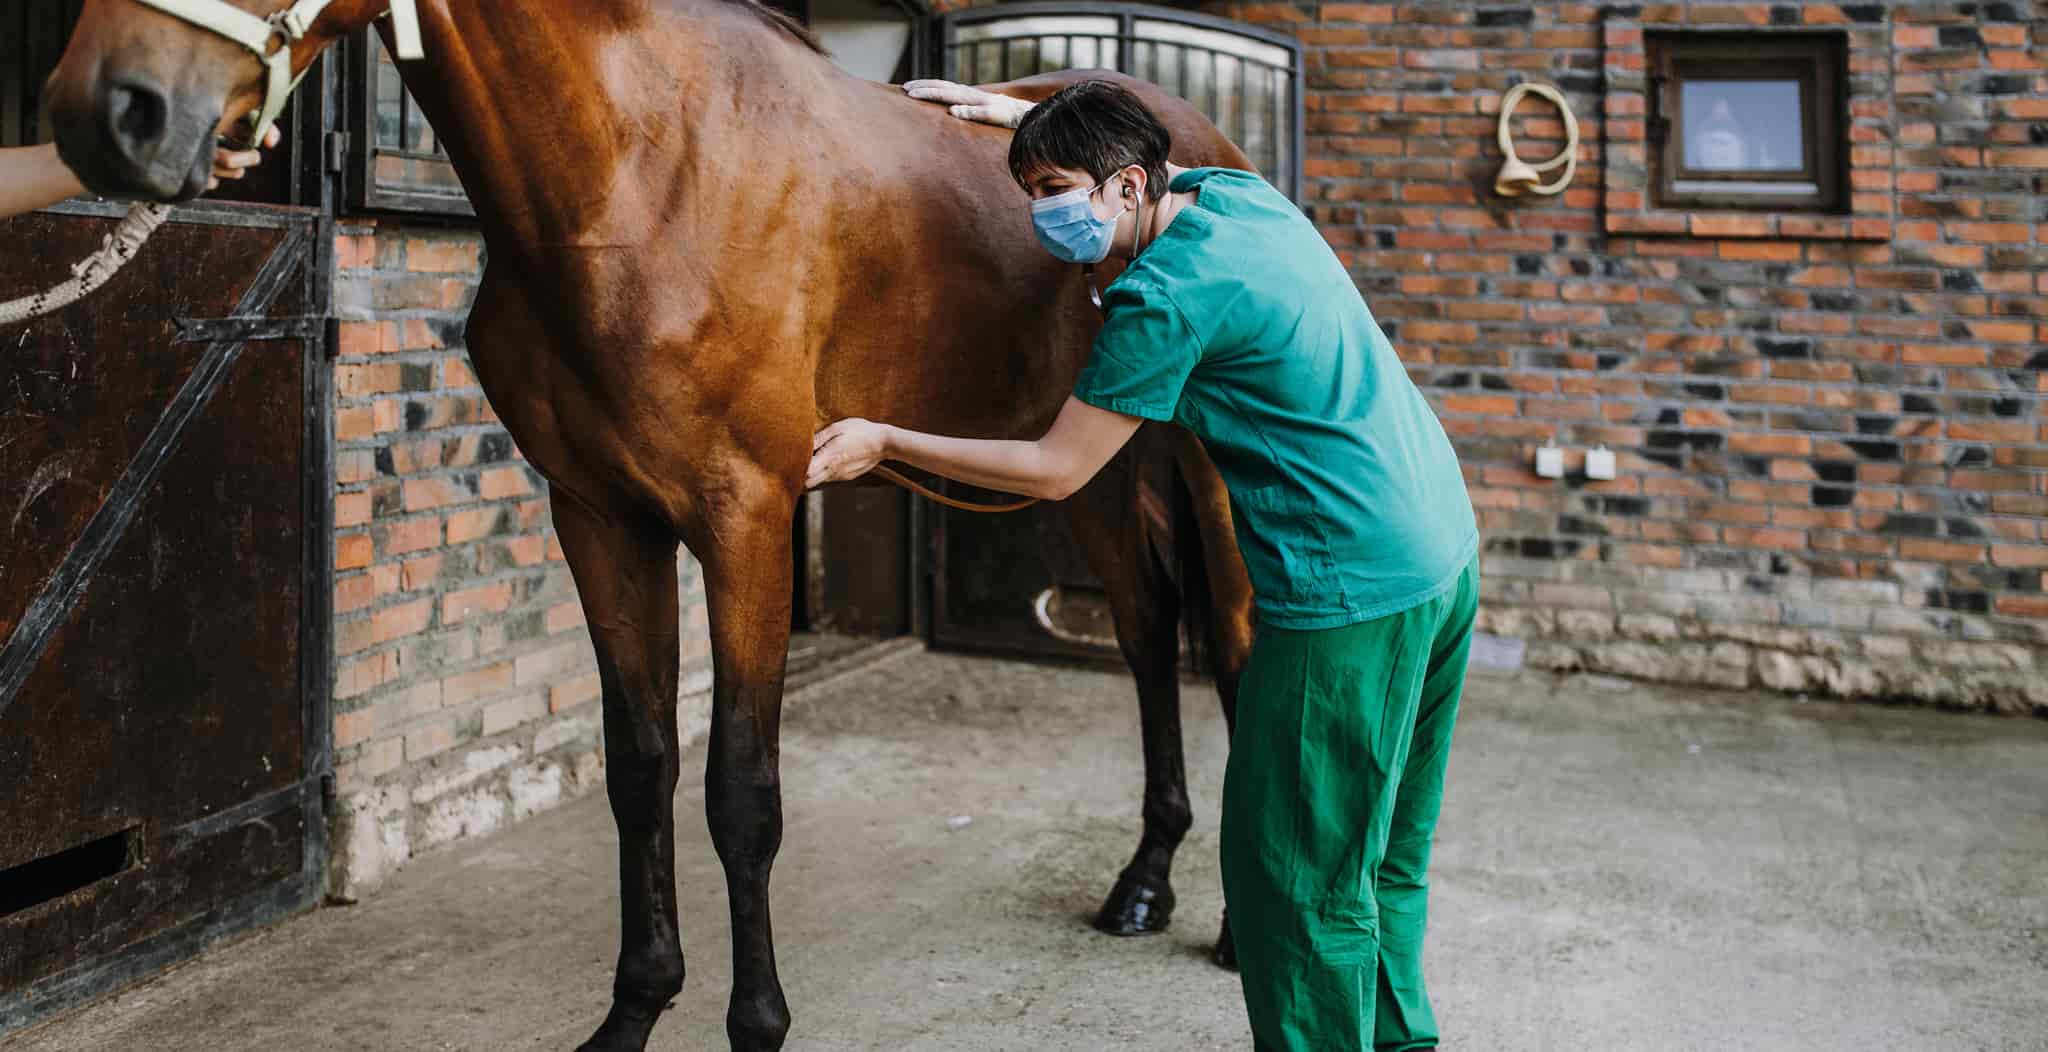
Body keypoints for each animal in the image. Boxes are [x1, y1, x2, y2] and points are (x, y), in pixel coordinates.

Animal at [45, 2, 1259, 1048]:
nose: (109, 106)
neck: (639, 177)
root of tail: (1207, 153)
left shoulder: (747, 520)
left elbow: (741, 794)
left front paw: (755, 1024)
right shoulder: (599, 518)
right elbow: (640, 771)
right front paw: (635, 1009)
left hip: (1217, 473)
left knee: (1243, 647)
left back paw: (1235, 928)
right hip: (1089, 471)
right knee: (1148, 630)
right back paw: (1143, 881)